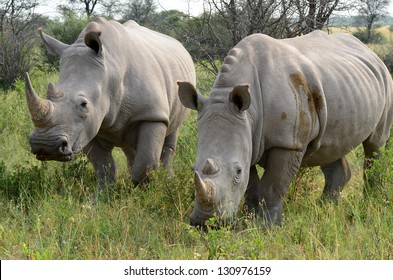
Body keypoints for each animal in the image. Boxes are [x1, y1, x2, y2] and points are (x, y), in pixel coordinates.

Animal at [25, 17, 195, 188]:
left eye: (84, 104)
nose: (45, 145)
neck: (110, 73)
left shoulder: (152, 115)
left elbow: (145, 164)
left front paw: (142, 191)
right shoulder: (86, 127)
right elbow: (103, 166)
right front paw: (104, 193)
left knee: (172, 133)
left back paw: (168, 179)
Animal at [178, 30, 392, 226]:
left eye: (237, 171)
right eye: (193, 168)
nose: (205, 223)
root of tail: (371, 53)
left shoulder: (288, 143)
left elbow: (272, 186)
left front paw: (266, 226)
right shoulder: (248, 135)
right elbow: (251, 185)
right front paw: (248, 222)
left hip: (384, 81)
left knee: (374, 145)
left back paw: (370, 203)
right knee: (330, 146)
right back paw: (325, 209)